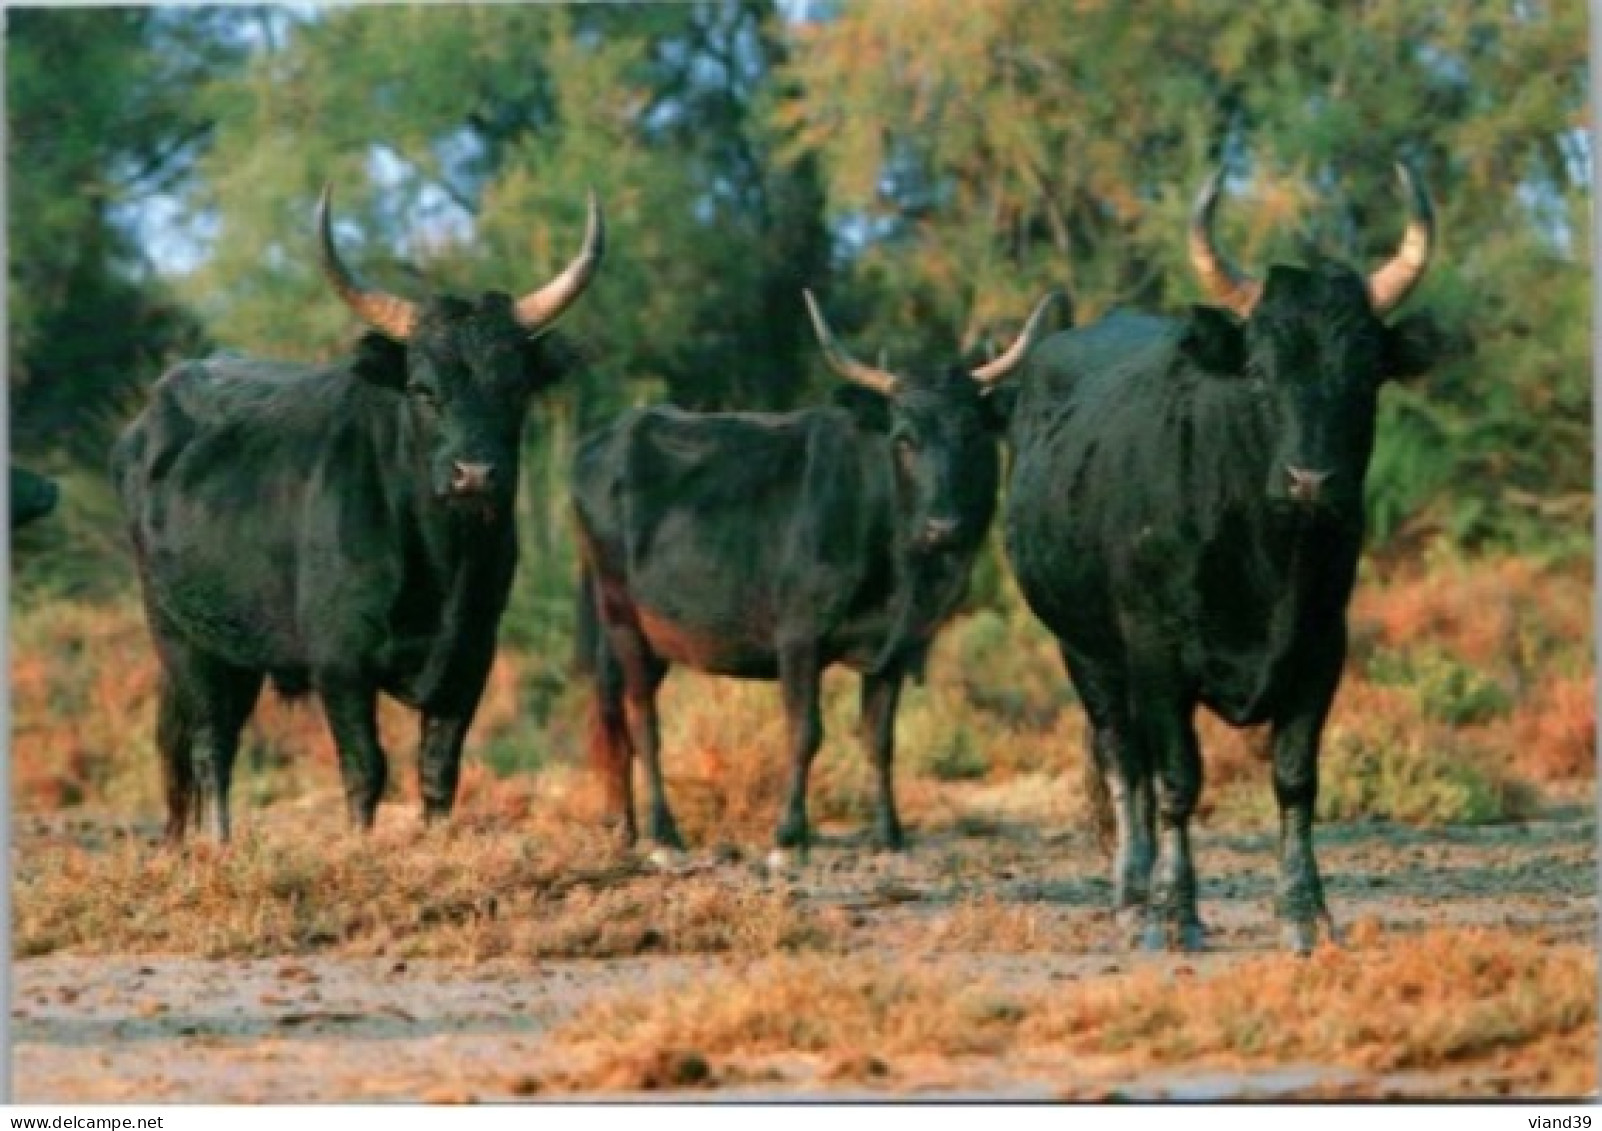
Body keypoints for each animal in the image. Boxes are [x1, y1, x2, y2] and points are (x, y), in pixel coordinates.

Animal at [111, 185, 602, 839]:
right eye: (422, 388)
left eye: (515, 388)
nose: (474, 475)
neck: (442, 562)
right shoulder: (341, 663)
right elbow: (366, 768)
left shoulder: (470, 657)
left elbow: (439, 769)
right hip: (179, 637)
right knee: (211, 745)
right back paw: (219, 844)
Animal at [573, 286, 1063, 852]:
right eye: (903, 439)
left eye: (972, 435)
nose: (943, 528)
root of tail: (607, 437)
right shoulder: (798, 637)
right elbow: (805, 732)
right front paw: (790, 830)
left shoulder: (894, 649)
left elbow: (879, 738)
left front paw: (889, 830)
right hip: (623, 618)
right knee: (642, 718)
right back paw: (661, 828)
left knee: (614, 717)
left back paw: (622, 825)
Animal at [999, 160, 1441, 948]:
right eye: (1260, 371)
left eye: (1365, 374)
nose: (1310, 480)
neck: (1267, 556)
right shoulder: (1156, 651)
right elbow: (1179, 778)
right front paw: (1174, 911)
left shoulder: (1323, 647)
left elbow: (1295, 778)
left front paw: (1304, 910)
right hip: (1085, 651)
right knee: (1125, 764)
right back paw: (1132, 894)